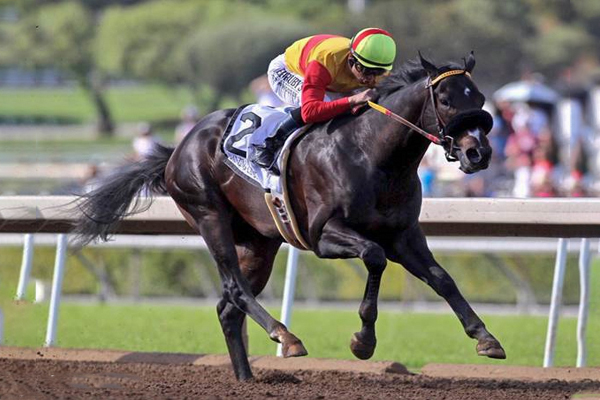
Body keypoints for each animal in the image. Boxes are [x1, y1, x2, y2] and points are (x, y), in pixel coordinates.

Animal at [75, 53, 506, 382]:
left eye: (481, 97)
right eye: (446, 99)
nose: (478, 153)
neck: (373, 155)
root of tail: (177, 148)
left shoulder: (404, 235)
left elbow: (442, 279)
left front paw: (486, 337)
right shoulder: (324, 236)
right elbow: (374, 257)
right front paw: (362, 341)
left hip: (259, 242)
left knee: (228, 307)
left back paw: (246, 377)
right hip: (209, 215)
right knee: (234, 288)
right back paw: (286, 337)